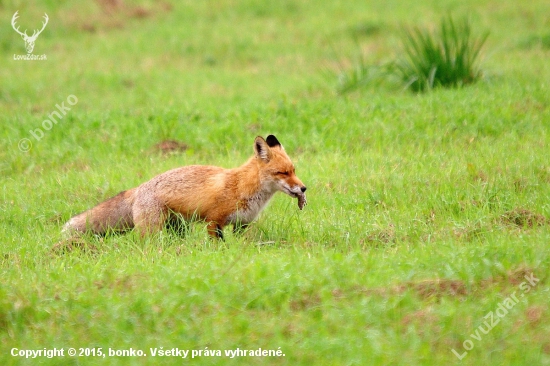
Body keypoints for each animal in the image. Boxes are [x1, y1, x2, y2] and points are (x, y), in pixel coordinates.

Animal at [63, 136, 310, 239]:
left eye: (294, 170)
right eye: (283, 173)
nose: (303, 188)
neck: (242, 186)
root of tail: (139, 187)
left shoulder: (242, 224)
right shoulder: (214, 221)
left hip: (179, 227)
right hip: (153, 229)